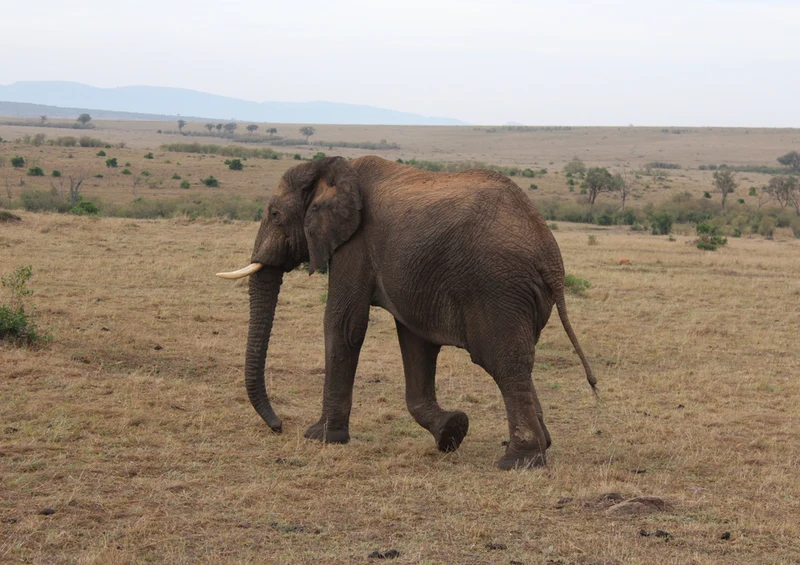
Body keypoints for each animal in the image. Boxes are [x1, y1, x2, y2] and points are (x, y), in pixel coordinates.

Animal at [217, 155, 596, 469]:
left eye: (274, 215)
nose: (279, 426)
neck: (329, 168)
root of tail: (550, 254)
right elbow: (415, 341)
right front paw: (451, 431)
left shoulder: (355, 243)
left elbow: (344, 325)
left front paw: (321, 437)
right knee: (521, 361)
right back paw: (541, 446)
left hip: (499, 288)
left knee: (505, 362)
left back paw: (518, 462)